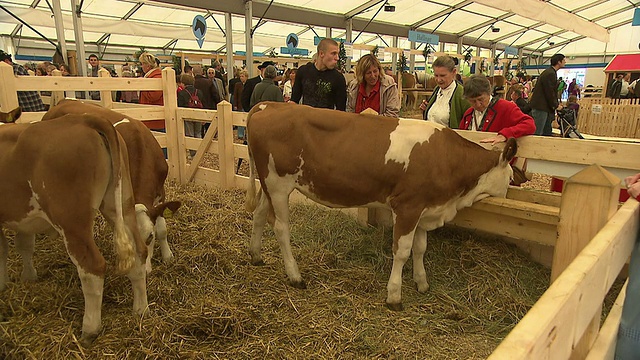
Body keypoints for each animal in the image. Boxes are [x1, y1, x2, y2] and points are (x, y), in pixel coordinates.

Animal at [0, 112, 148, 344]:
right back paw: (141, 309)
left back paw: (89, 329)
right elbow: (23, 245)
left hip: (72, 222)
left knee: (92, 267)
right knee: (139, 251)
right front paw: (28, 277)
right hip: (122, 205)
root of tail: (84, 118)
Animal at [40, 99, 180, 272]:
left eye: (150, 237)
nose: (145, 271)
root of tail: (63, 101)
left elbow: (162, 229)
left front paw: (168, 256)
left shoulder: (160, 190)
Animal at [242, 101, 516, 310]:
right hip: (278, 184)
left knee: (259, 215)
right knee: (281, 228)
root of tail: (271, 105)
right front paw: (394, 295)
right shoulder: (407, 206)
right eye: (512, 177)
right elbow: (402, 251)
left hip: (268, 185)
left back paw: (256, 255)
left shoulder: (425, 208)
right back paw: (295, 276)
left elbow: (420, 248)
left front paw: (422, 282)